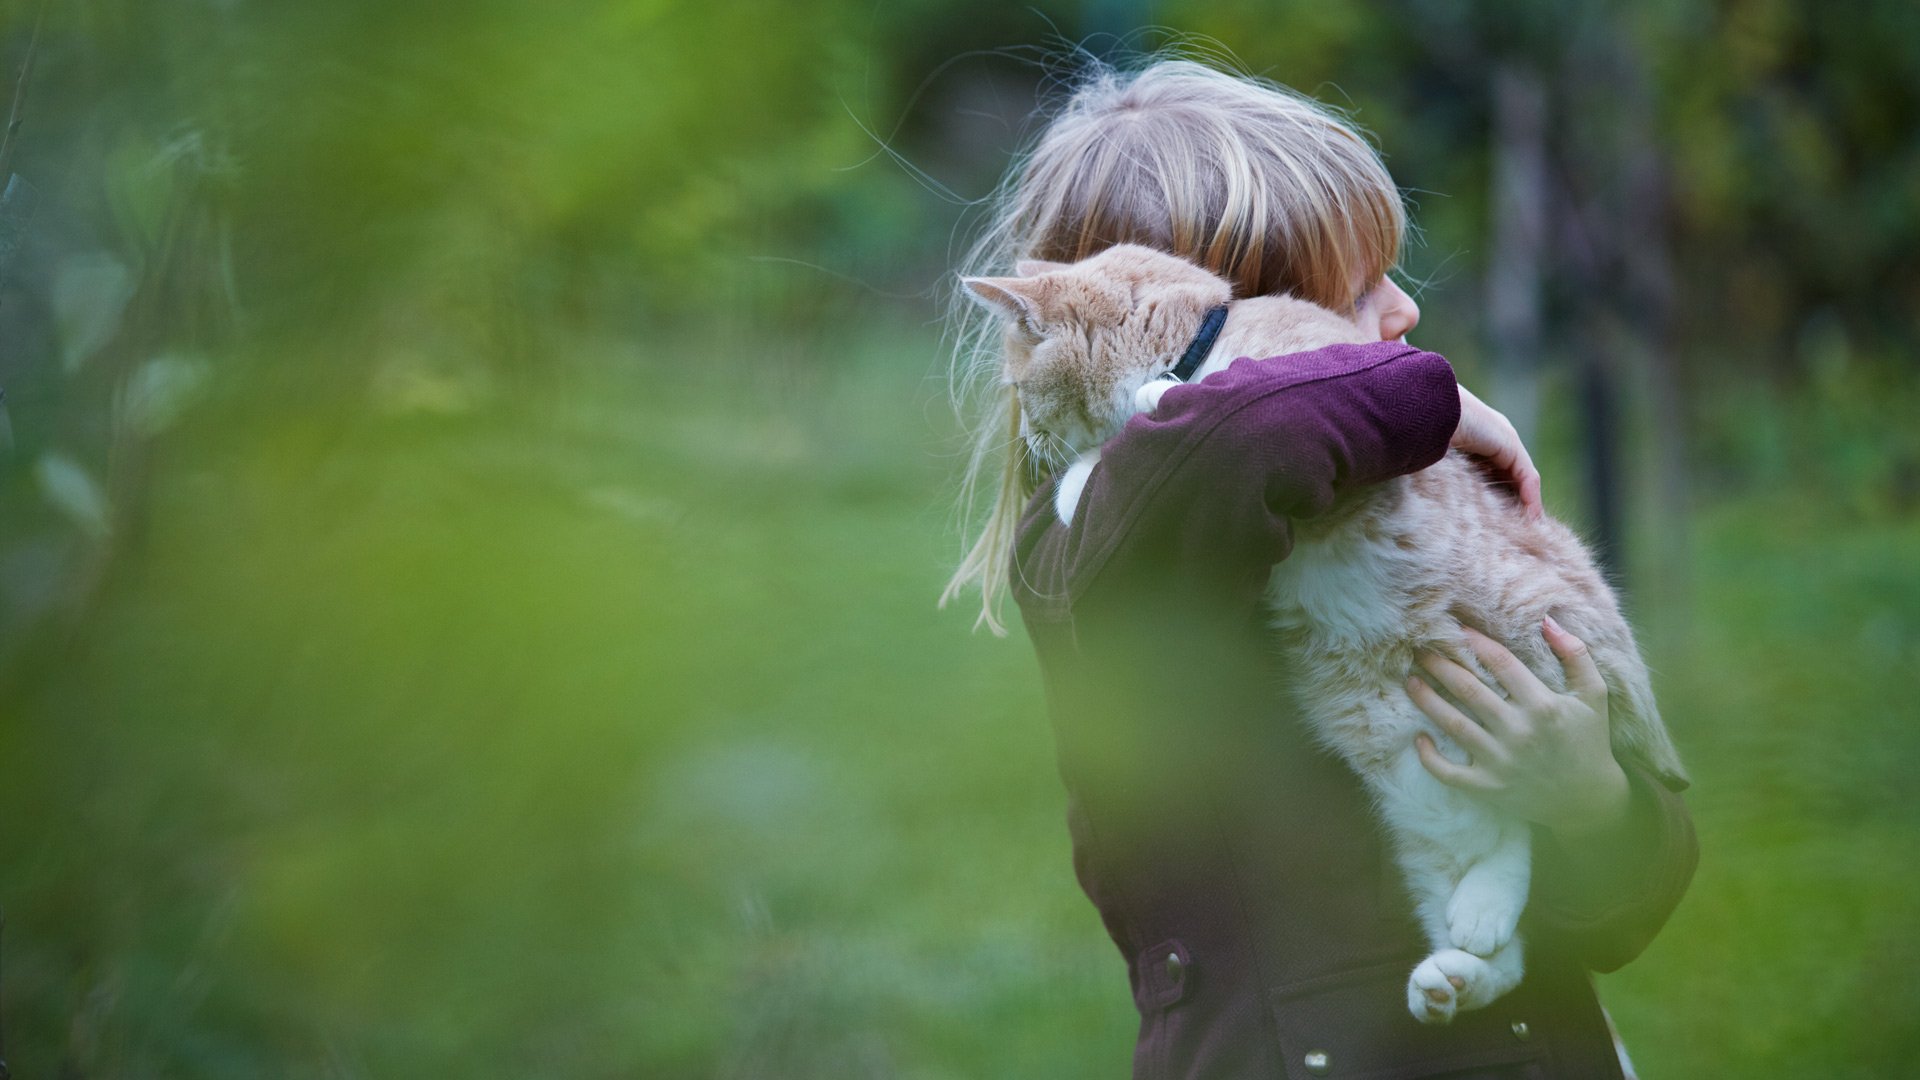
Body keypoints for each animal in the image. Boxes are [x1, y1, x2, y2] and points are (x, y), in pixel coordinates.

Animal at [960, 242, 1681, 1014]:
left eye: (1021, 385)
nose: (1029, 440)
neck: (1202, 344)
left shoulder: (1349, 484)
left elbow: (1146, 426)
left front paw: (1131, 428)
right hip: (1423, 792)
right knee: (1505, 896)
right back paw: (1456, 971)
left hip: (1535, 669)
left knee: (1541, 816)